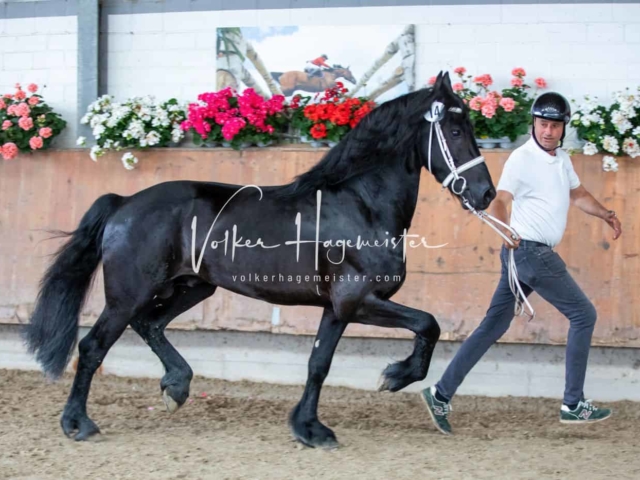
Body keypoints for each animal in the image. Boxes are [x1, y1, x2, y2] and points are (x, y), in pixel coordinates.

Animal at [23, 71, 496, 446]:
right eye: (456, 131)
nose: (486, 194)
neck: (361, 205)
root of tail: (123, 203)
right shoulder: (358, 301)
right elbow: (428, 324)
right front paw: (395, 376)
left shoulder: (337, 308)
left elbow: (319, 364)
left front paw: (309, 428)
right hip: (128, 295)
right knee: (93, 346)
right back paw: (77, 423)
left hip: (191, 287)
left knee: (150, 324)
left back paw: (176, 386)